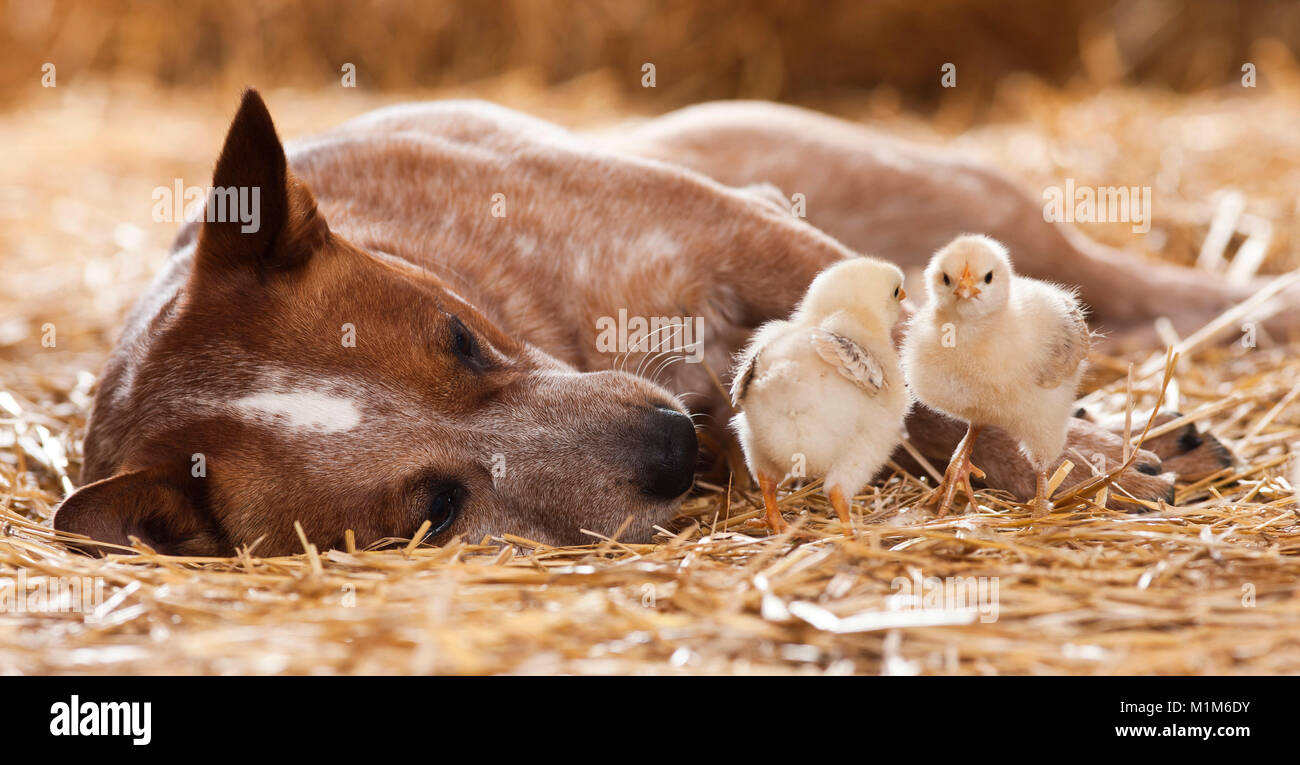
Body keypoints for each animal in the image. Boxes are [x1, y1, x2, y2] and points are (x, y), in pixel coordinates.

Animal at [53, 91, 1248, 556]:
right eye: (437, 506)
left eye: (459, 338)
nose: (671, 445)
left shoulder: (730, 227)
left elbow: (939, 396)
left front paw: (1083, 459)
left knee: (1127, 284)